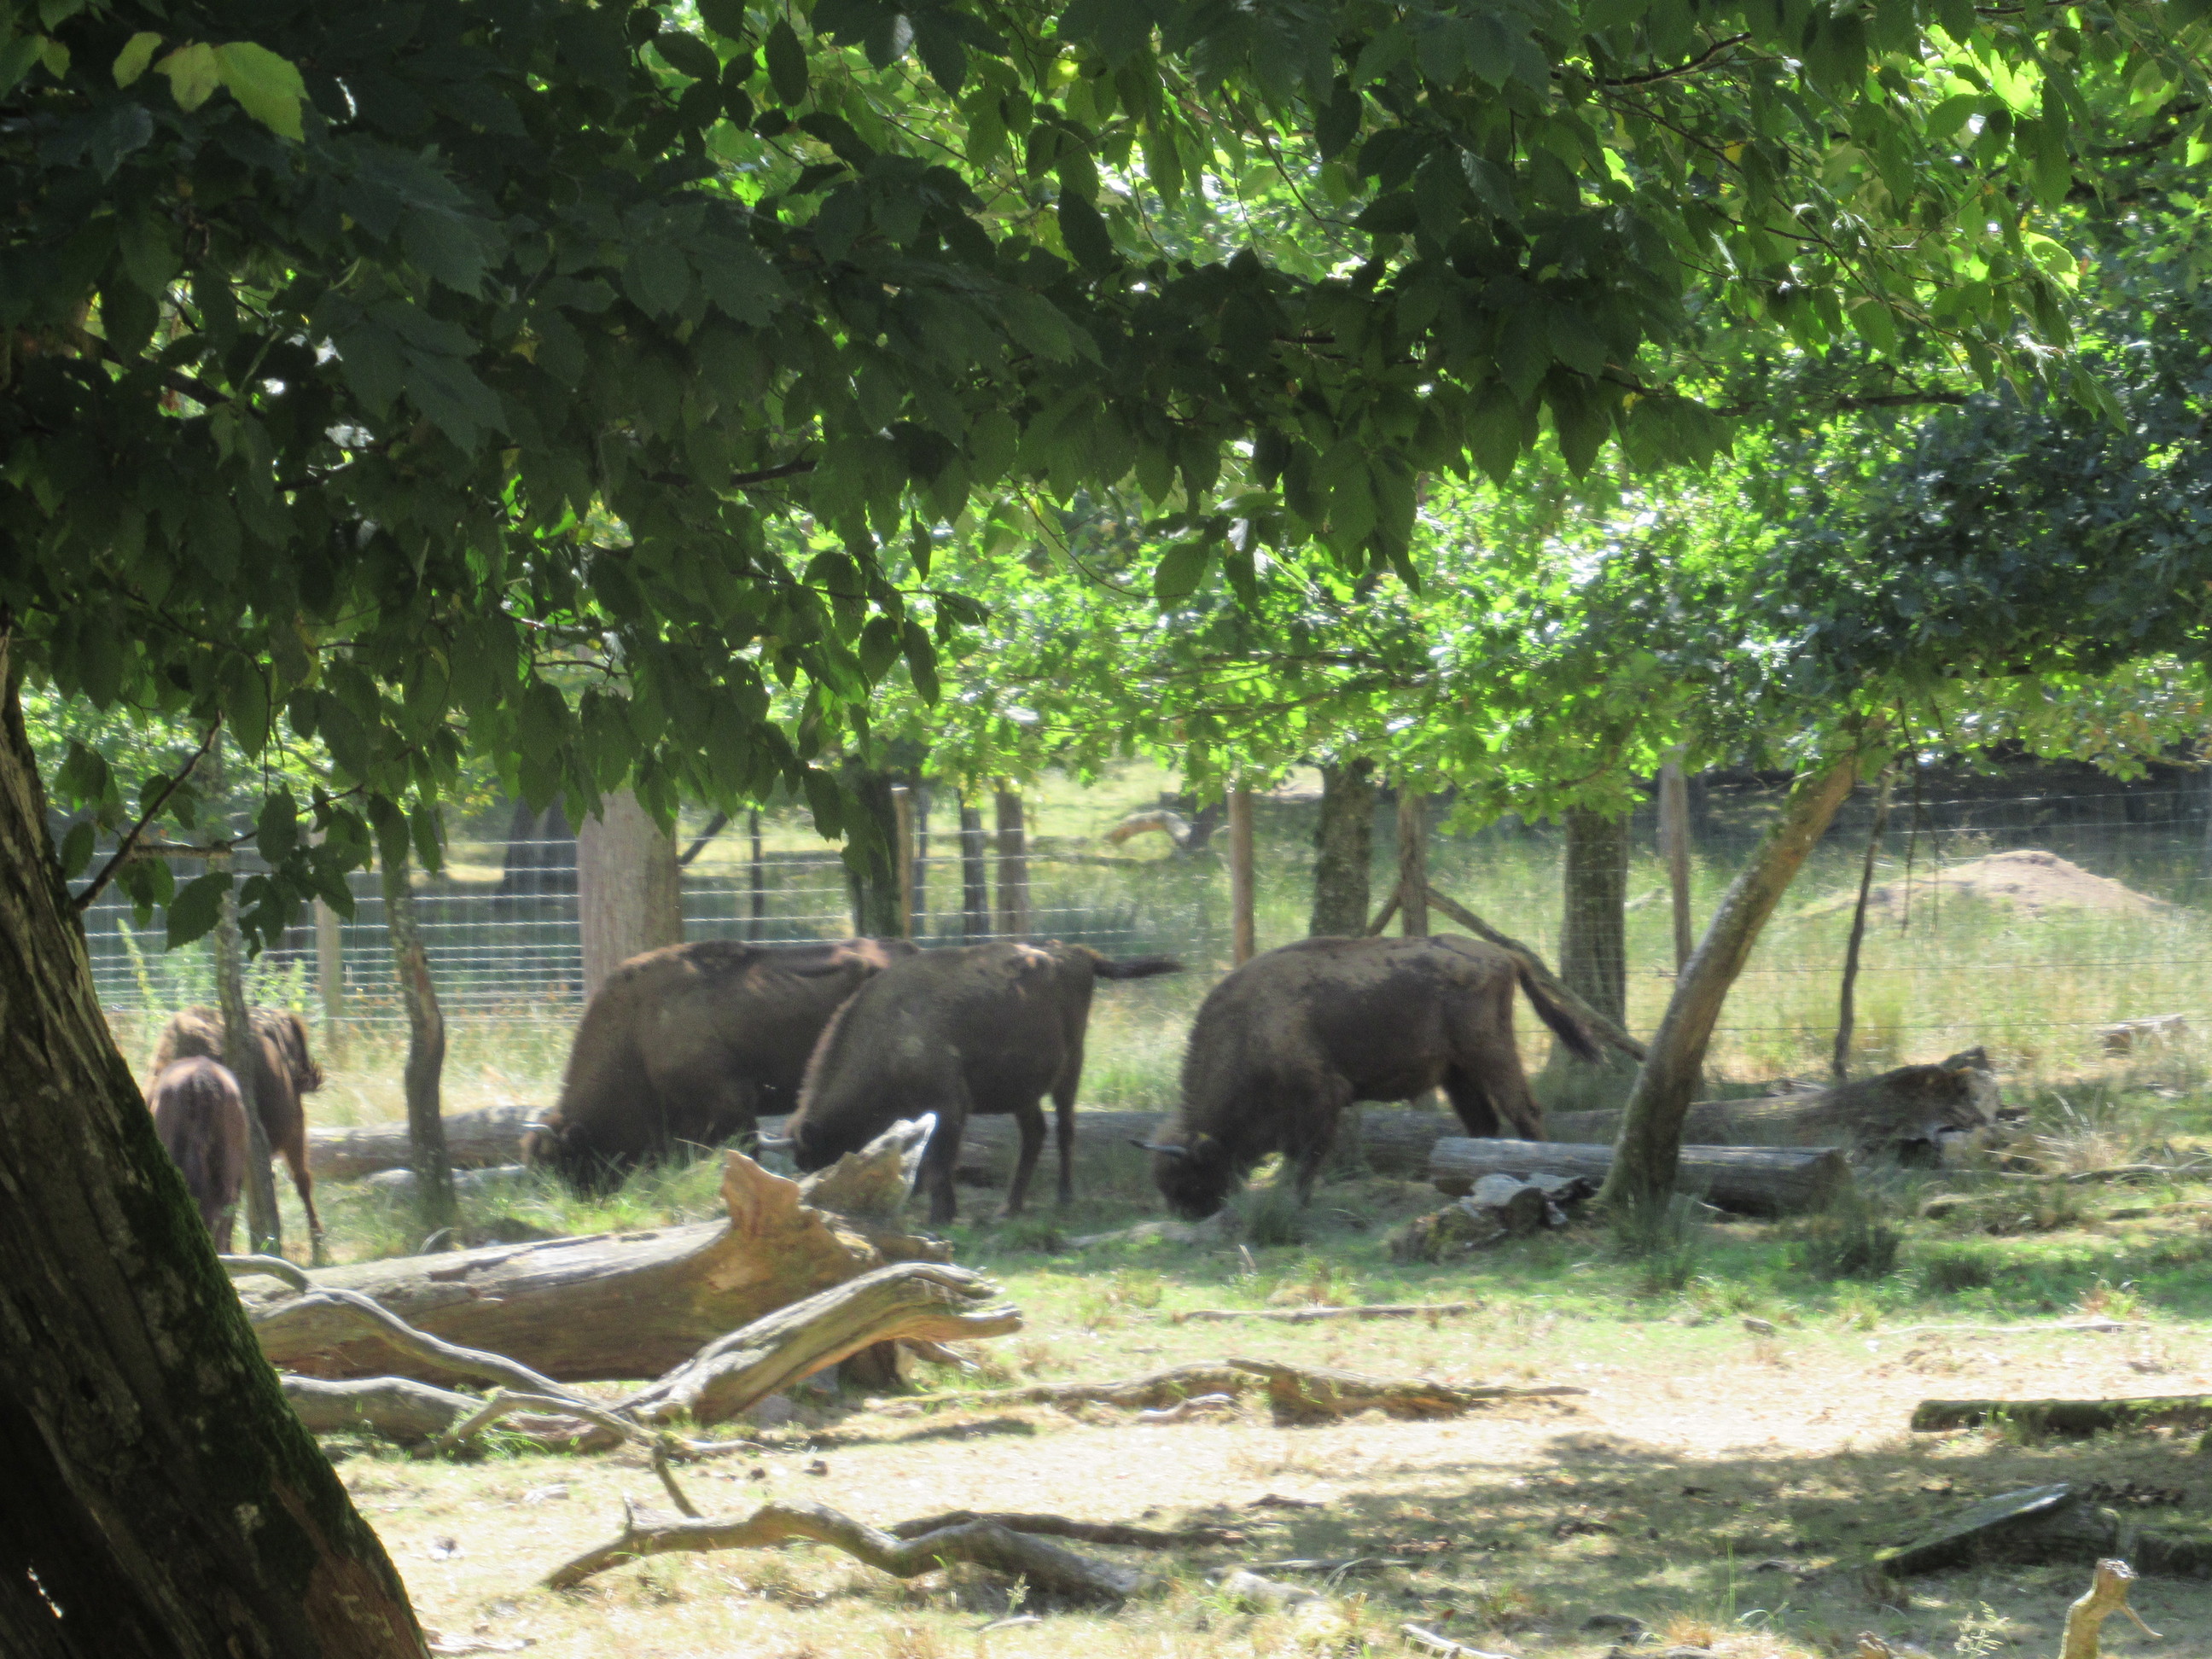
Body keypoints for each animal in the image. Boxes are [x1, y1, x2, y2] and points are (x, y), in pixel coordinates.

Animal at [779, 940, 1180, 1225]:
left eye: (821, 1158)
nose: (823, 1204)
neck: (886, 1031)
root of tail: (1075, 953)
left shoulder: (949, 1105)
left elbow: (939, 1160)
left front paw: (941, 1215)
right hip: (1023, 1091)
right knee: (1035, 1133)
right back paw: (1009, 1208)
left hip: (1069, 1070)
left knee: (1066, 1128)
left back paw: (1063, 1198)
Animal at [1146, 934, 1602, 1218]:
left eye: (1190, 1176)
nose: (1189, 1215)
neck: (1249, 1026)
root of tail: (1506, 956)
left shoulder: (1321, 1097)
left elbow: (1306, 1155)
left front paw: (1294, 1201)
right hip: (1456, 1073)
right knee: (1482, 1124)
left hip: (1489, 1054)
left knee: (1524, 1111)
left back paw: (1541, 1178)